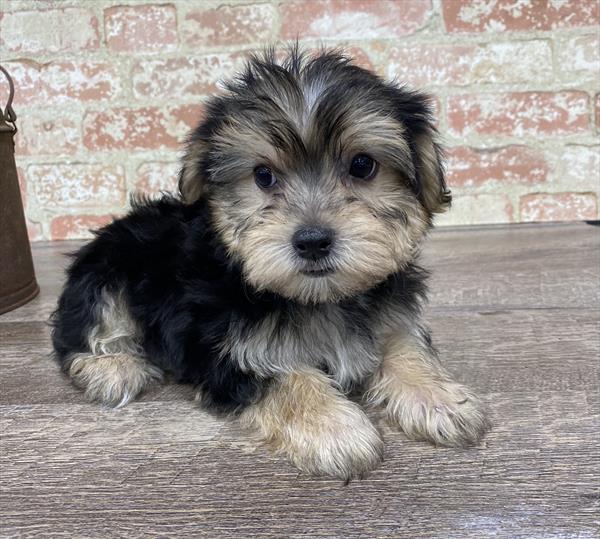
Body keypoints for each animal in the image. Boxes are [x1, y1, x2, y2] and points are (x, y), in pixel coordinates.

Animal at [51, 48, 490, 480]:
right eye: (263, 176)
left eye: (362, 165)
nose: (312, 241)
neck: (318, 299)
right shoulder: (221, 349)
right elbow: (284, 376)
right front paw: (336, 429)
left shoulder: (390, 317)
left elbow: (405, 345)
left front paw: (440, 398)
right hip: (106, 270)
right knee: (86, 329)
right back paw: (113, 369)